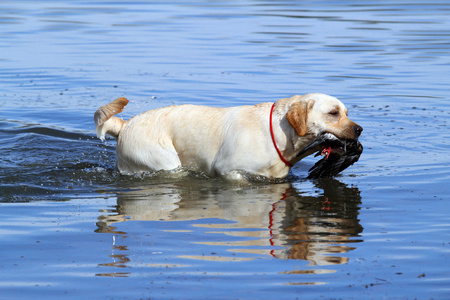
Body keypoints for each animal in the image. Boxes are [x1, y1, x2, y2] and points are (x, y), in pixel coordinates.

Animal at [95, 92, 362, 179]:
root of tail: (125, 125)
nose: (360, 130)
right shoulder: (228, 170)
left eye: (347, 113)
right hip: (165, 163)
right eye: (333, 113)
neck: (278, 135)